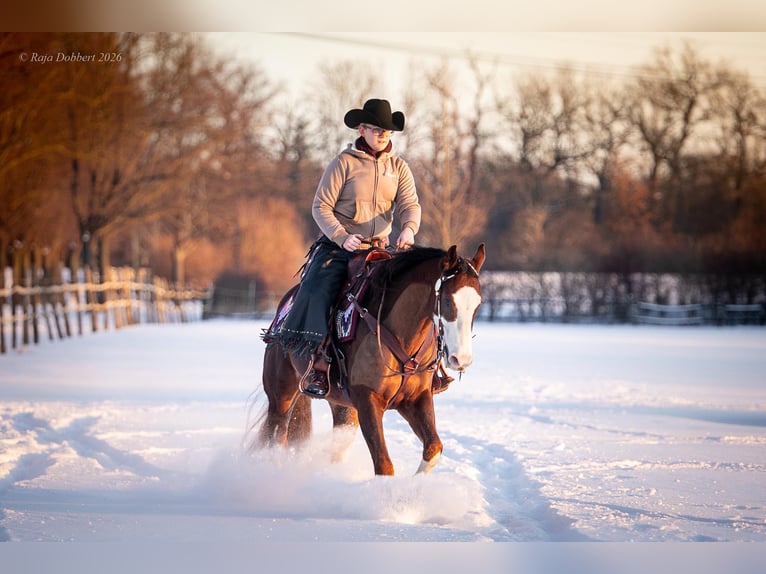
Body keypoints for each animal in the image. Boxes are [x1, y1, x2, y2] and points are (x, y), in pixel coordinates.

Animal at [254, 243, 486, 476]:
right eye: (447, 301)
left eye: (478, 305)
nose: (461, 359)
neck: (400, 335)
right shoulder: (368, 400)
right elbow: (384, 465)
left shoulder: (416, 399)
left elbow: (433, 448)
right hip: (281, 396)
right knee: (276, 436)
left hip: (343, 408)